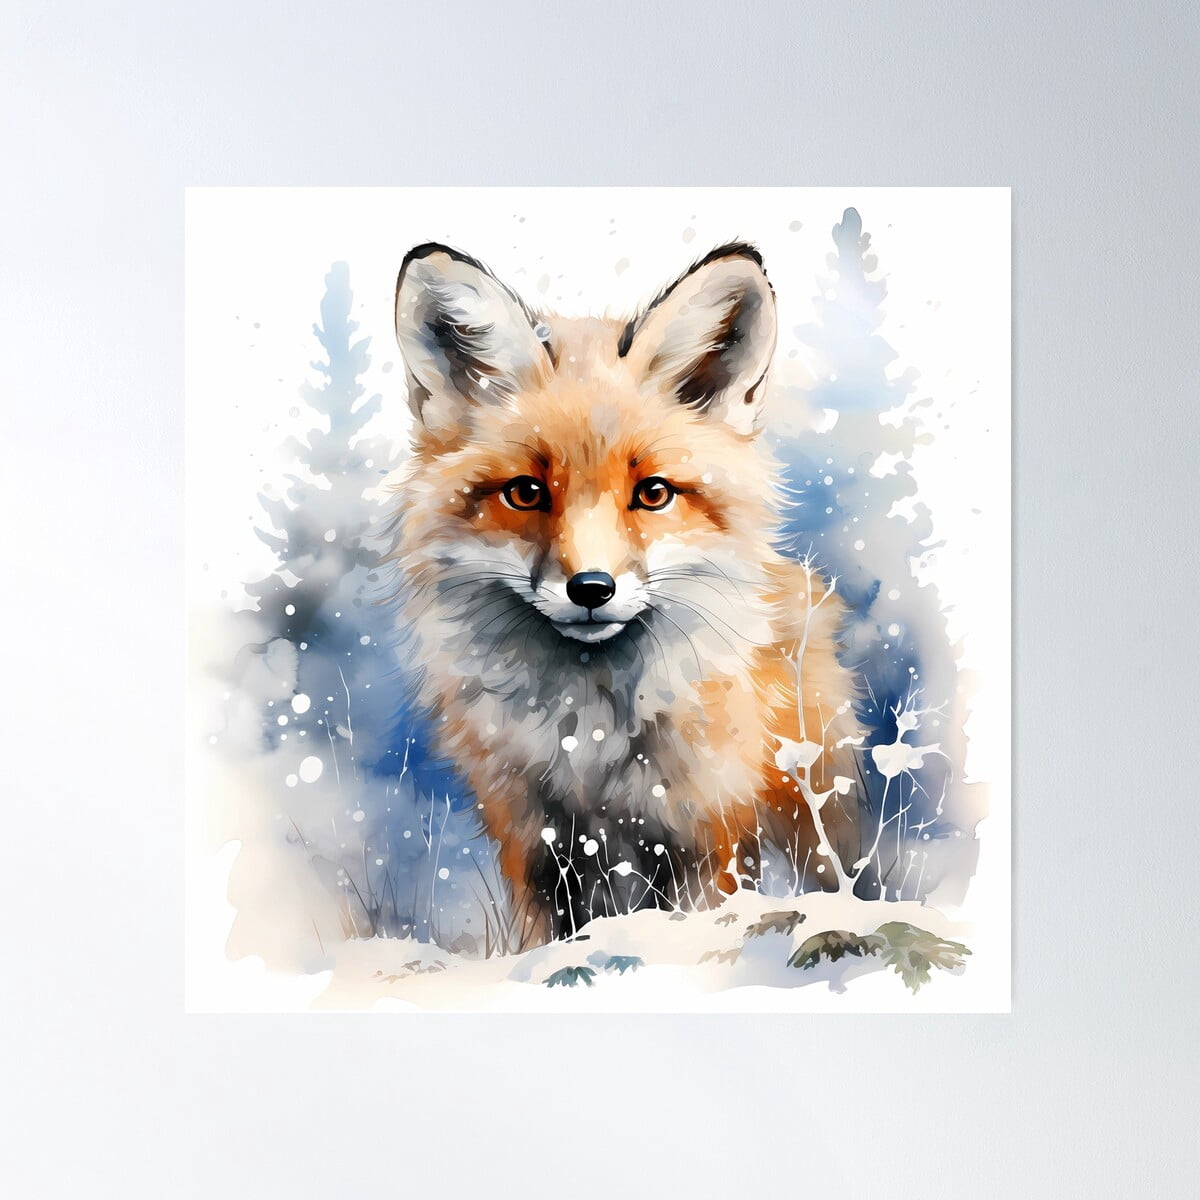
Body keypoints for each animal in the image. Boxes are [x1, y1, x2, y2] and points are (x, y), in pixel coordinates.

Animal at [389, 240, 862, 947]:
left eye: (653, 493)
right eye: (526, 492)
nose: (591, 588)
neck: (589, 736)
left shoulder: (703, 835)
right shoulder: (535, 844)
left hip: (819, 815)